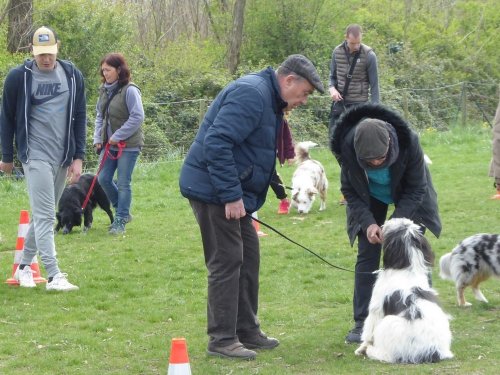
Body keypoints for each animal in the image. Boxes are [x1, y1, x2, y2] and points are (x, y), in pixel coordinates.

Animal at [356, 217, 454, 364]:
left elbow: (368, 331)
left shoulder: (376, 309)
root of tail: (430, 351)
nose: (384, 224)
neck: (408, 269)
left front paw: (361, 348)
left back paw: (371, 351)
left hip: (388, 324)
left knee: (387, 355)